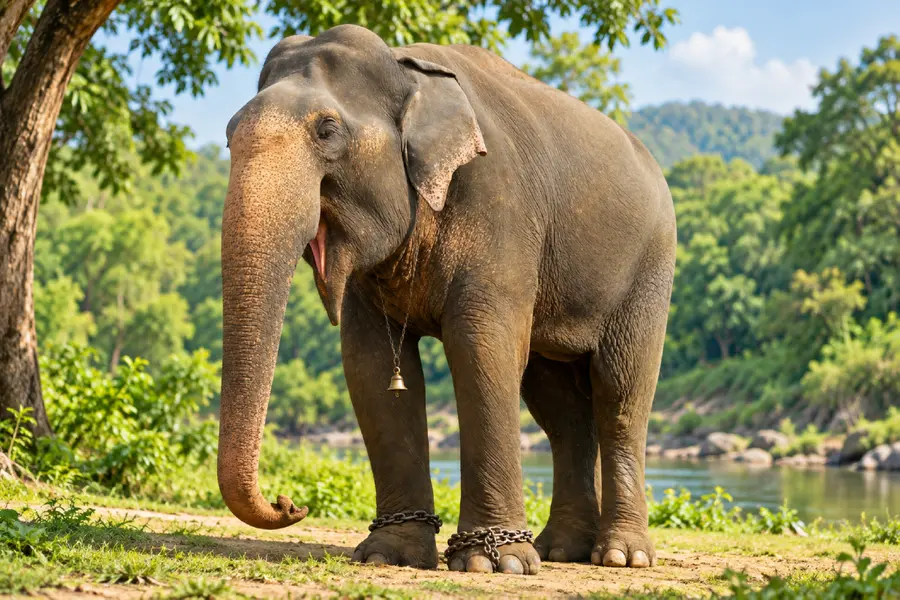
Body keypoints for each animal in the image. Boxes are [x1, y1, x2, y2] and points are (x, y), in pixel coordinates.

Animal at [217, 24, 676, 576]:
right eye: (228, 134)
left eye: (327, 130)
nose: (290, 504)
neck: (405, 67)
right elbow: (371, 366)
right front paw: (389, 555)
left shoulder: (499, 206)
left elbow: (481, 349)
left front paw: (494, 563)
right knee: (560, 410)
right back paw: (562, 550)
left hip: (650, 268)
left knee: (619, 395)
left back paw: (622, 557)